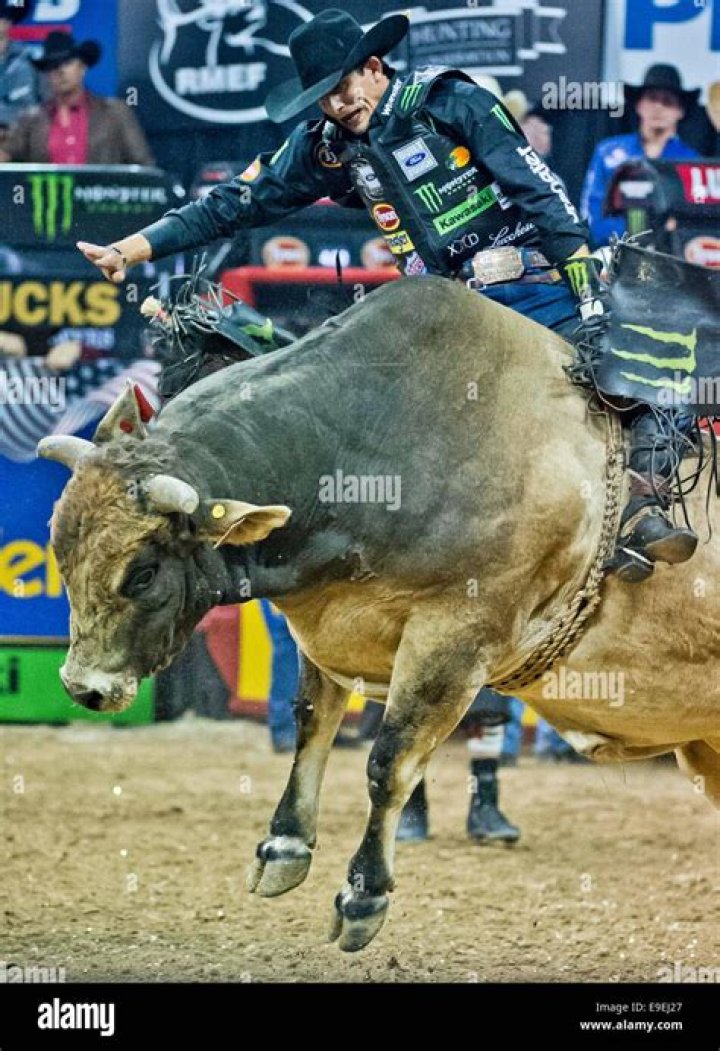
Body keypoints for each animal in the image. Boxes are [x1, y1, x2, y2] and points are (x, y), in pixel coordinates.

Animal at [39, 276, 720, 952]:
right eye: (61, 552)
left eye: (143, 571)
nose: (82, 687)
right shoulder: (327, 628)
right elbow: (313, 723)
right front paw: (284, 846)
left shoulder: (456, 639)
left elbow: (389, 762)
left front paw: (363, 896)